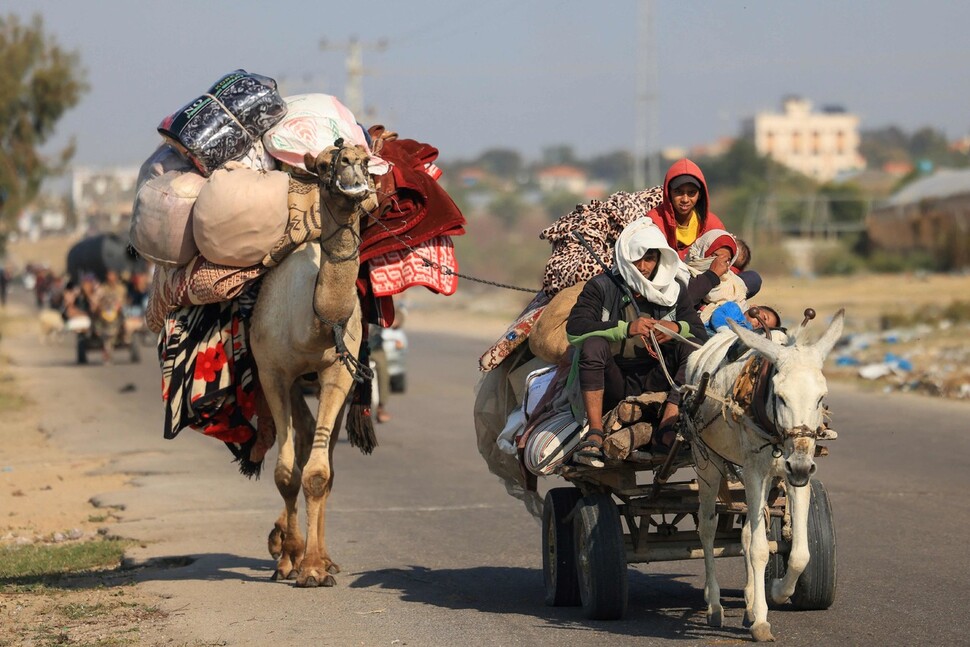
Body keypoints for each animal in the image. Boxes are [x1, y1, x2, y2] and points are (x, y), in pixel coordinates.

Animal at [248, 142, 376, 588]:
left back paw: (321, 557)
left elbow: (318, 474)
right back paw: (287, 552)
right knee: (300, 445)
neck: (314, 324)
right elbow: (286, 473)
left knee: (323, 461)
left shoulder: (338, 370)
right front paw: (290, 560)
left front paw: (316, 568)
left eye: (366, 159)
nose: (351, 167)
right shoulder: (273, 372)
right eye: (322, 165)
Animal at [680, 310, 840, 644]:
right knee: (708, 528)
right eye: (780, 397)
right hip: (707, 463)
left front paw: (776, 592)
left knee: (746, 531)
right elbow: (758, 549)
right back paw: (715, 605)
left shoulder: (792, 475)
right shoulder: (754, 471)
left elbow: (799, 553)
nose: (801, 467)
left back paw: (750, 603)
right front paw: (762, 622)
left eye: (821, 397)